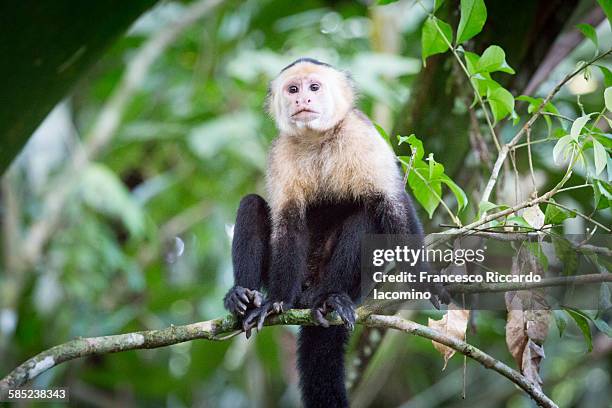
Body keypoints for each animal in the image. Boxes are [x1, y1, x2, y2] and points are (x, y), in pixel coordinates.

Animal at [222, 58, 448, 408]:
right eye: (293, 89)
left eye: (314, 87)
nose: (303, 99)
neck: (317, 140)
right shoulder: (280, 153)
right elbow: (287, 223)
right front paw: (275, 302)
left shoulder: (361, 135)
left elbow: (392, 204)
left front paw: (426, 280)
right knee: (252, 205)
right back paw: (245, 298)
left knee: (366, 218)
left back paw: (332, 299)